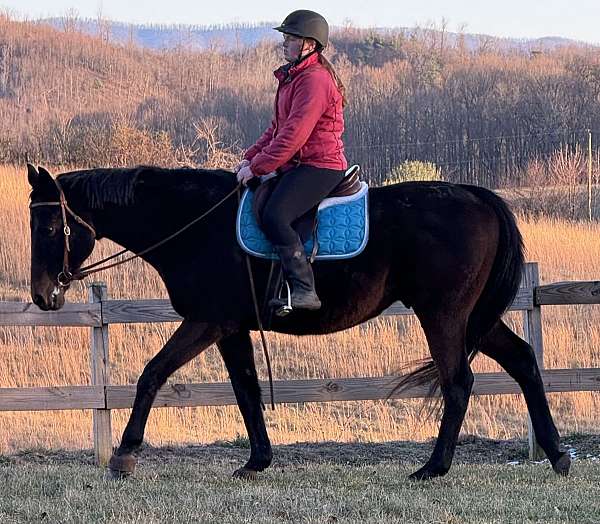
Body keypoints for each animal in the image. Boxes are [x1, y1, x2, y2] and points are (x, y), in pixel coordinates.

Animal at [27, 164, 572, 478]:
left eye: (51, 226)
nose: (42, 294)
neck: (195, 223)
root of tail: (476, 196)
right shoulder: (232, 328)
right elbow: (246, 389)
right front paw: (257, 461)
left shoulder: (207, 321)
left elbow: (152, 374)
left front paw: (124, 454)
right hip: (473, 317)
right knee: (524, 362)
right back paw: (557, 454)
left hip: (444, 314)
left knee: (459, 382)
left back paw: (433, 468)